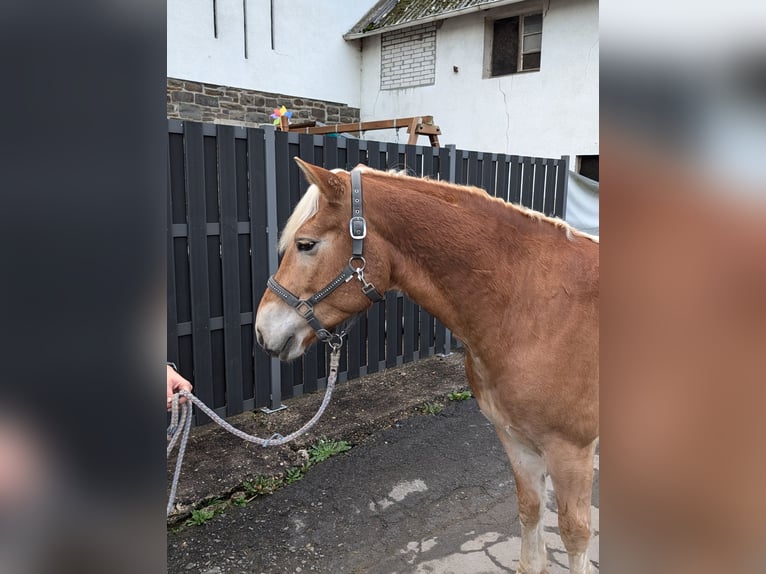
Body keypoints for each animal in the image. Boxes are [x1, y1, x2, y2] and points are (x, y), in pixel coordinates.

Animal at [258, 159, 600, 574]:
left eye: (305, 244)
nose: (262, 330)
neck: (533, 305)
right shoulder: (515, 438)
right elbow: (530, 511)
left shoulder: (571, 451)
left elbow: (574, 534)